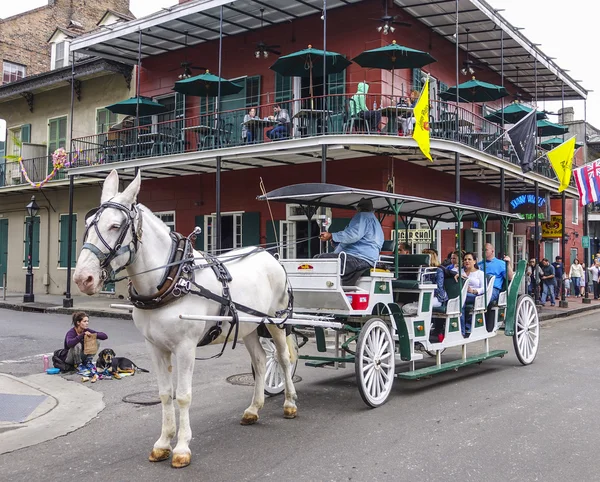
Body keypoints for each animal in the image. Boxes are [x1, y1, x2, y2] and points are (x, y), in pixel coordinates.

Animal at [73, 169, 298, 466]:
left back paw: (290, 403)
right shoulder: (155, 347)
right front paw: (162, 443)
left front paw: (181, 448)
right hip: (249, 327)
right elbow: (164, 394)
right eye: (87, 223)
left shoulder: (185, 347)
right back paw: (253, 409)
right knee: (261, 363)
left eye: (115, 226)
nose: (82, 278)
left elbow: (182, 396)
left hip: (275, 321)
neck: (172, 279)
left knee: (283, 359)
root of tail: (270, 255)